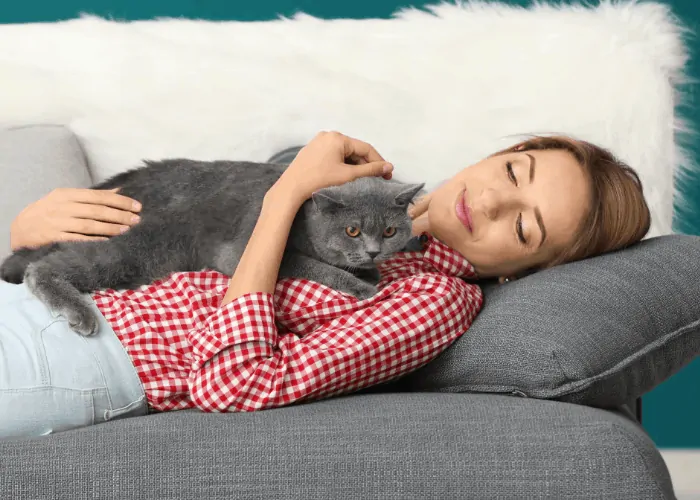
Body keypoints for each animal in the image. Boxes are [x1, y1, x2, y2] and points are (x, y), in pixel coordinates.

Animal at [0, 160, 422, 338]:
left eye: (389, 231)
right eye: (352, 230)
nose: (372, 251)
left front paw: (370, 270)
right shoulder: (243, 249)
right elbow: (315, 266)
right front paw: (362, 284)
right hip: (136, 249)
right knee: (44, 267)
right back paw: (78, 312)